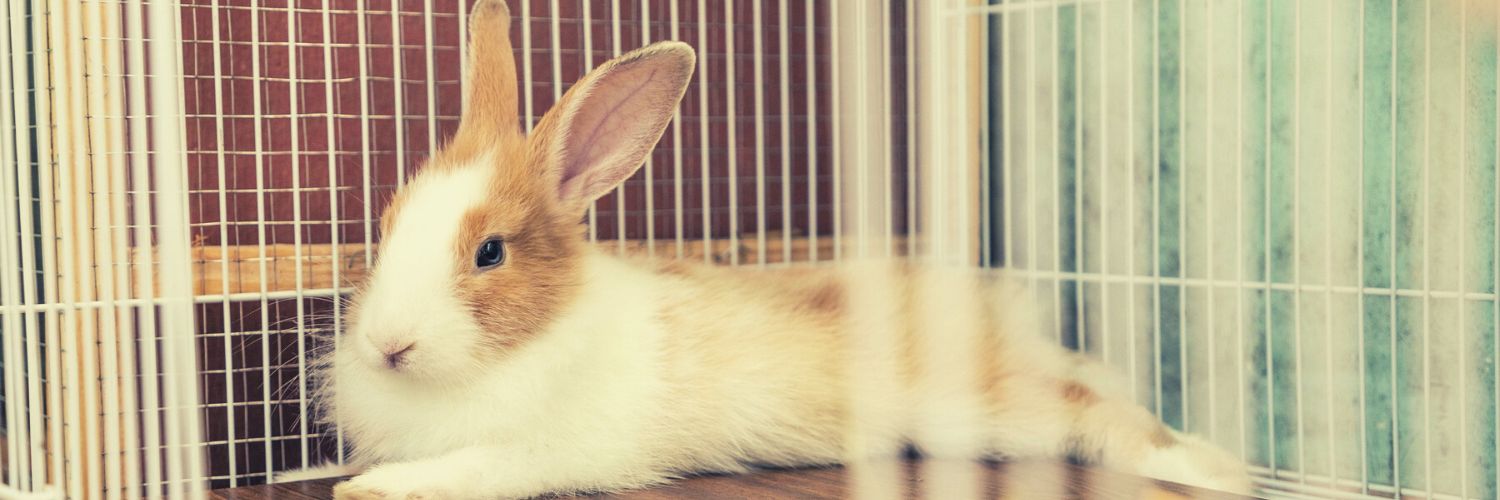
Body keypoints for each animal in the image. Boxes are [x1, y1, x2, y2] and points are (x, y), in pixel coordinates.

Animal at [320, 1, 1252, 498]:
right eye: (386, 226)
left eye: (489, 253)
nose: (388, 345)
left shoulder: (549, 449)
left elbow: (470, 467)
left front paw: (369, 487)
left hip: (978, 405)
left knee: (1098, 411)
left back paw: (1220, 470)